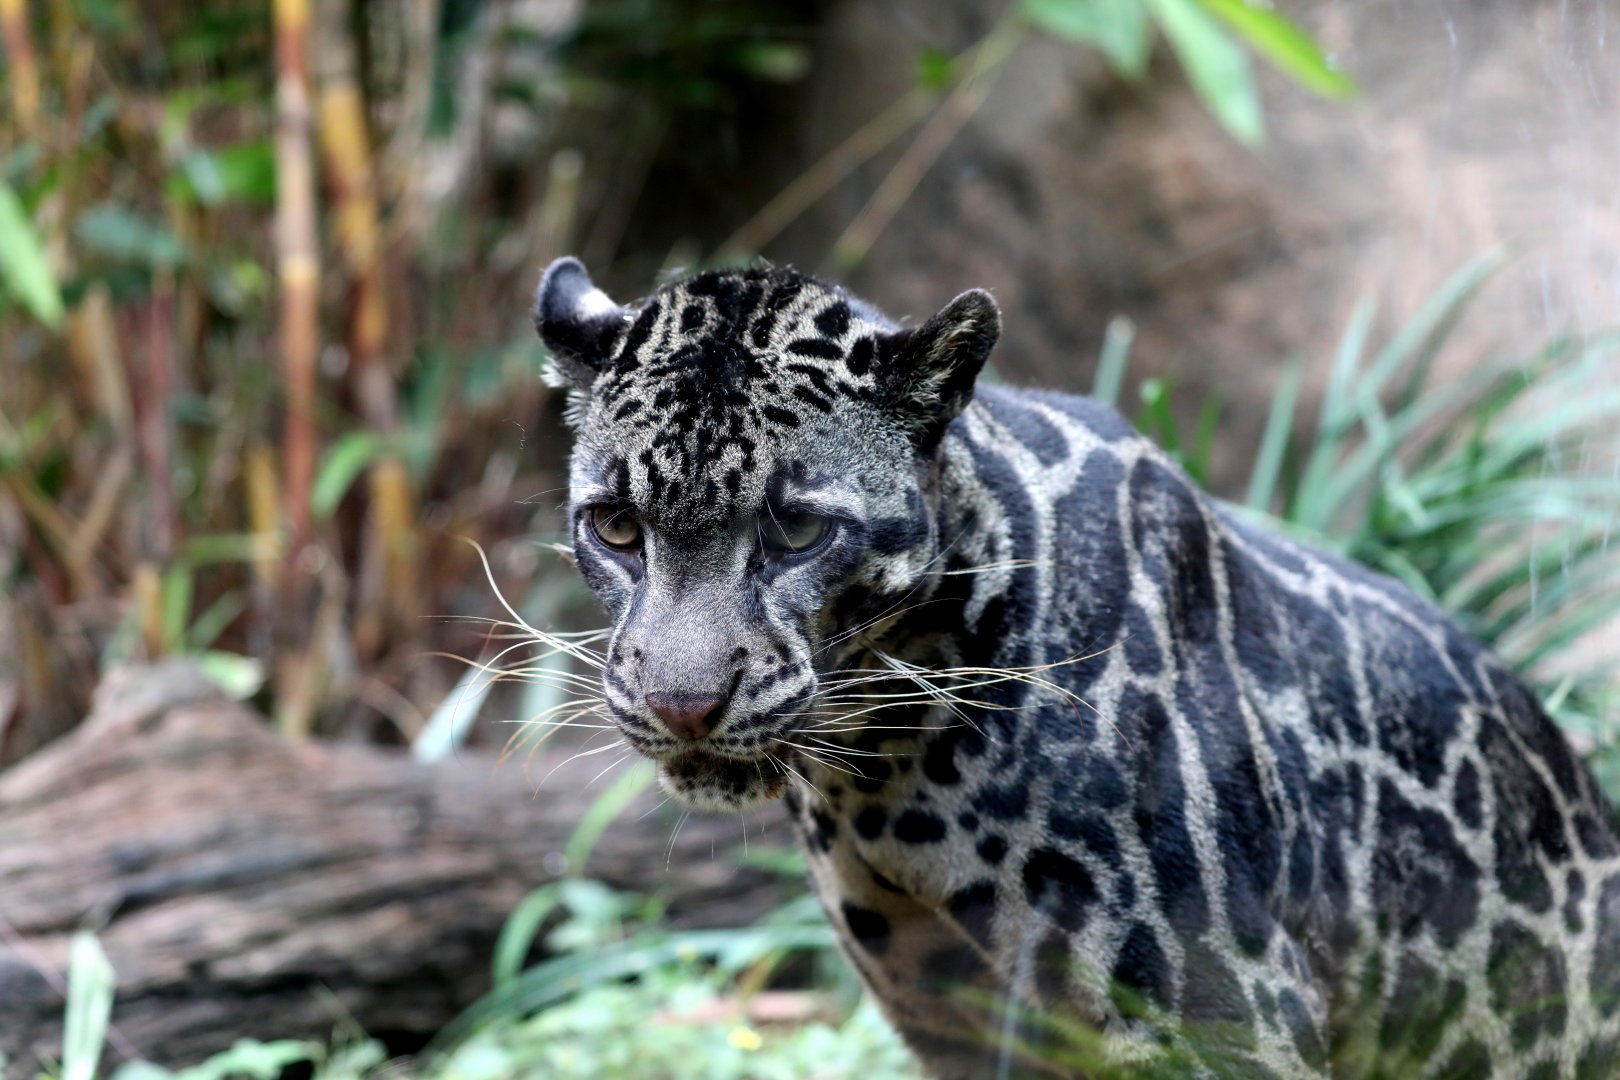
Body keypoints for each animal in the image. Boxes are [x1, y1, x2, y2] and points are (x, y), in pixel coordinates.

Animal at [532, 254, 1620, 1079]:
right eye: (616, 527)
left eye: (797, 531)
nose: (682, 704)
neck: (886, 775)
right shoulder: (950, 1024)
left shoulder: (1214, 1020)